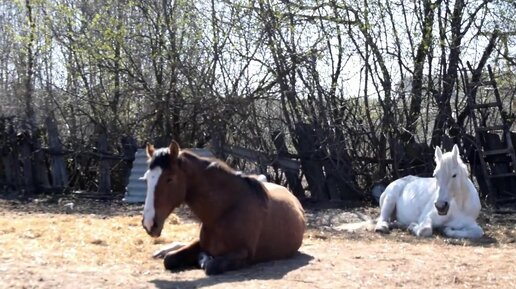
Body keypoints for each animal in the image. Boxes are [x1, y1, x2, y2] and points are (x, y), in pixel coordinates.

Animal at [140, 141, 306, 274]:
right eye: (146, 179)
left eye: (170, 179)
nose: (149, 223)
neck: (224, 211)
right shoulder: (201, 243)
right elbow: (169, 260)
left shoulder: (243, 253)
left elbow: (211, 266)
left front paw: (204, 259)